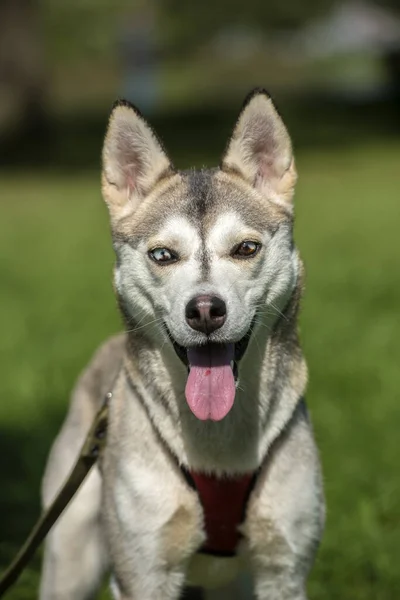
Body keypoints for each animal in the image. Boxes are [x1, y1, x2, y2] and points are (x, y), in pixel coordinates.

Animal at [39, 89, 324, 600]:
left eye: (246, 248)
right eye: (163, 254)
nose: (206, 310)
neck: (218, 446)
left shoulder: (284, 569)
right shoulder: (143, 572)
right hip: (69, 554)